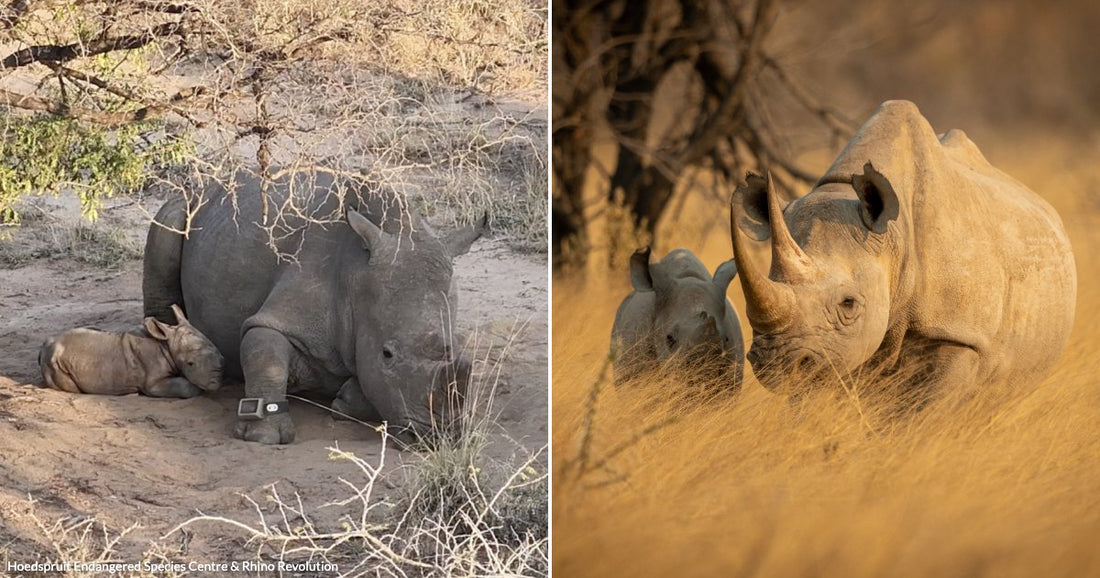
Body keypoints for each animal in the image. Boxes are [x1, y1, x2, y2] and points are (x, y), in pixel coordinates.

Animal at [39, 304, 224, 397]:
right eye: (190, 364)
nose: (216, 383)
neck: (165, 344)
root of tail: (45, 345)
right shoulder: (153, 383)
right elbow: (185, 387)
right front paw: (198, 388)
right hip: (54, 361)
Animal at [143, 171, 484, 445]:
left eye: (456, 350)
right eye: (387, 354)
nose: (437, 437)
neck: (356, 280)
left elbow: (369, 382)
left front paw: (346, 400)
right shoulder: (275, 316)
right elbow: (265, 354)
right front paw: (264, 436)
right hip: (184, 203)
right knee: (169, 227)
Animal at [729, 100, 1076, 398]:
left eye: (849, 304)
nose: (776, 365)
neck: (895, 238)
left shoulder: (959, 335)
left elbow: (924, 416)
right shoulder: (832, 352)